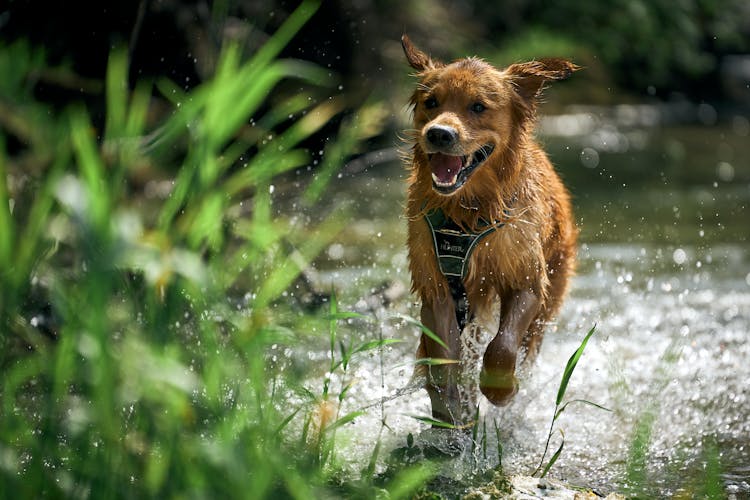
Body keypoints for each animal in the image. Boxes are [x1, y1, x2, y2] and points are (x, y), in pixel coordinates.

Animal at [402, 35, 580, 426]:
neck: (468, 213)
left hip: (552, 289)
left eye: (479, 107)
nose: (438, 134)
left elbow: (502, 346)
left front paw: (500, 390)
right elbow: (443, 357)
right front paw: (451, 408)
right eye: (431, 102)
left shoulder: (528, 279)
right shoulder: (436, 286)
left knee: (528, 345)